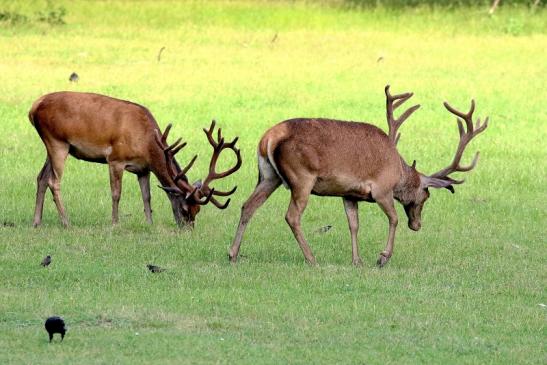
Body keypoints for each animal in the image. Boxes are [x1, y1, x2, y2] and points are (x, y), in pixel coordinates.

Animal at [27, 91, 241, 228]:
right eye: (185, 209)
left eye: (198, 211)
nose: (187, 230)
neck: (146, 144)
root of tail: (33, 108)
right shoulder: (115, 159)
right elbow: (116, 193)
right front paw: (115, 223)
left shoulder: (143, 169)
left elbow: (147, 196)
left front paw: (149, 223)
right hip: (57, 141)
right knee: (54, 181)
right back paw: (66, 222)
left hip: (53, 145)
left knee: (41, 177)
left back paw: (36, 221)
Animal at [229, 86, 490, 266]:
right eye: (426, 196)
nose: (417, 225)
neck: (398, 172)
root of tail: (268, 138)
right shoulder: (382, 189)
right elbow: (394, 219)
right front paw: (382, 257)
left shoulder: (349, 194)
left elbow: (353, 224)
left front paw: (357, 260)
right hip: (302, 177)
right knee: (292, 216)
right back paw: (312, 258)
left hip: (268, 176)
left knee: (247, 205)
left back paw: (232, 253)